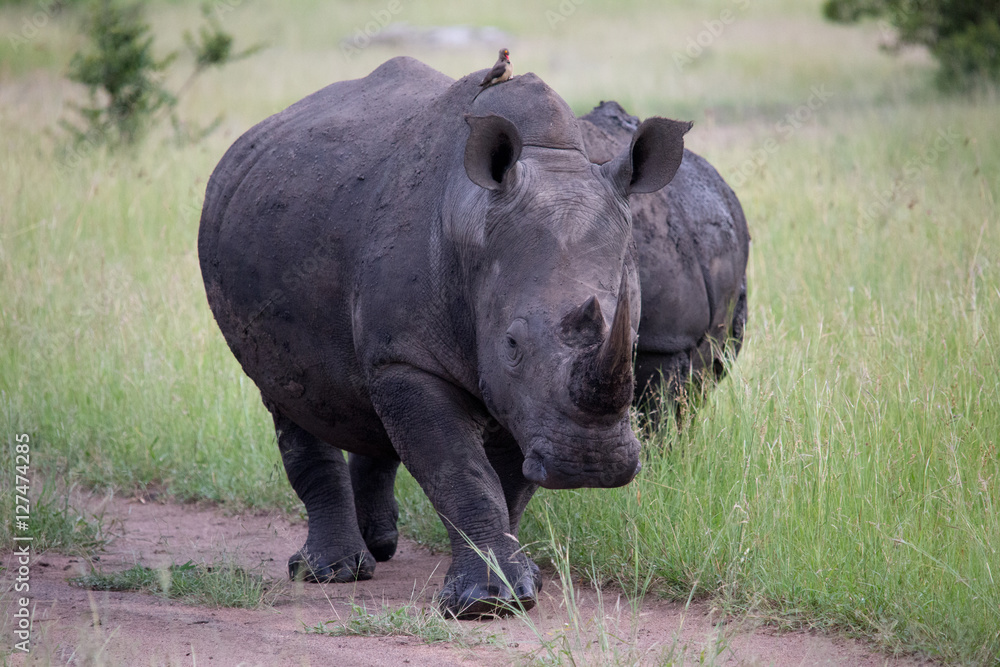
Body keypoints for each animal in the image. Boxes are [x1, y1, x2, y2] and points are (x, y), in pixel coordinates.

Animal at [198, 56, 744, 618]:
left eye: (633, 345)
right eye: (512, 345)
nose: (590, 464)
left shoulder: (525, 398)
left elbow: (508, 483)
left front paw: (522, 585)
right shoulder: (412, 359)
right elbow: (461, 471)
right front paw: (484, 604)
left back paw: (377, 548)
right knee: (286, 392)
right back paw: (332, 573)